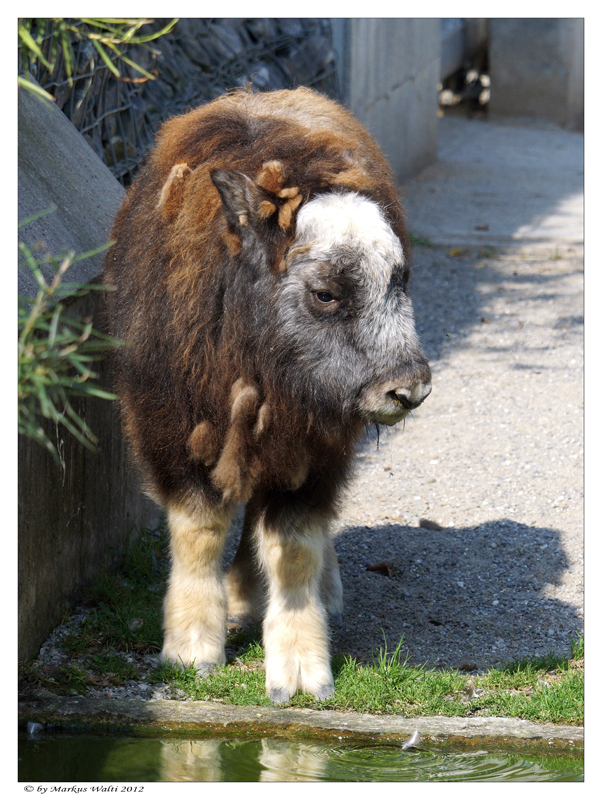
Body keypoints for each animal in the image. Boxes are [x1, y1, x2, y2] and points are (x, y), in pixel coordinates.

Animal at [104, 84, 432, 704]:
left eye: (399, 280)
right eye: (326, 293)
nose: (410, 390)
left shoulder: (315, 454)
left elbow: (294, 549)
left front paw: (302, 676)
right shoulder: (173, 434)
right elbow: (200, 532)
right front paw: (191, 654)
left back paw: (312, 594)